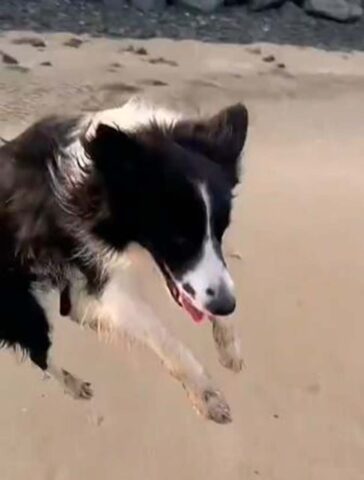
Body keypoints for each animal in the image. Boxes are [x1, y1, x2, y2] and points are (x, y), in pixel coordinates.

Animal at [0, 97, 249, 424]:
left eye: (221, 230)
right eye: (178, 237)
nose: (224, 305)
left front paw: (229, 346)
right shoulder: (100, 270)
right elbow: (161, 335)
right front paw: (206, 395)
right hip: (19, 297)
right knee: (39, 349)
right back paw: (73, 383)